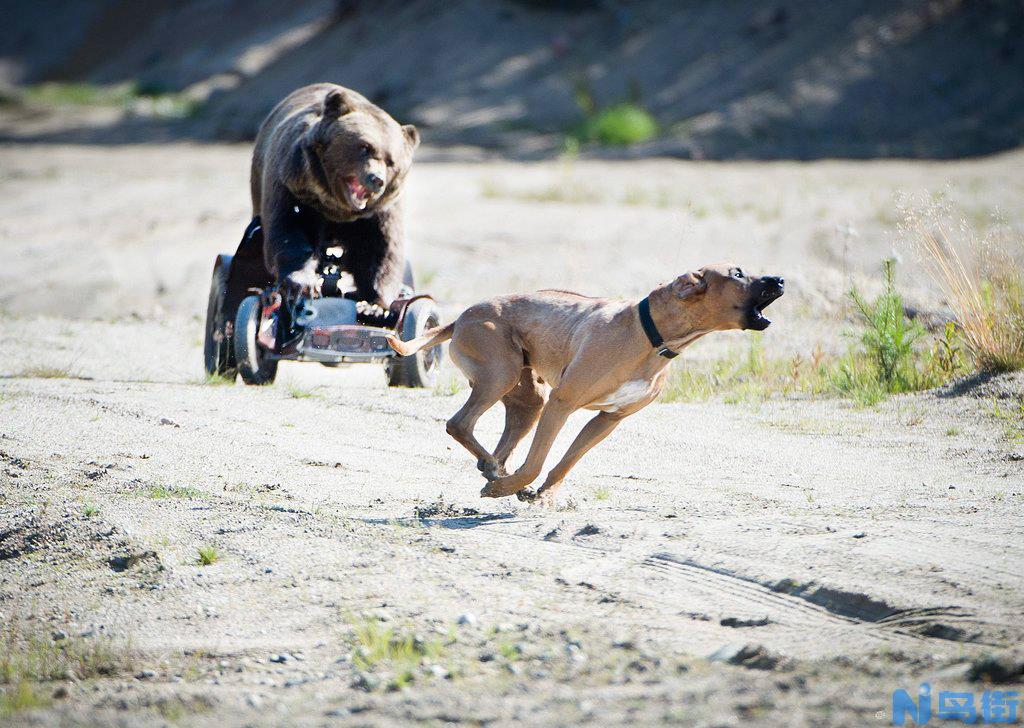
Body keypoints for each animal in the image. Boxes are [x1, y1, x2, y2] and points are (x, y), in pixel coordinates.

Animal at [385, 264, 782, 503]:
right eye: (737, 272)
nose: (780, 280)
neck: (651, 334)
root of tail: (463, 316)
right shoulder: (562, 404)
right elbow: (536, 462)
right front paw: (511, 489)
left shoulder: (606, 420)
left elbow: (565, 462)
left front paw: (541, 493)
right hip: (502, 375)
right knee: (459, 424)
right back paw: (496, 473)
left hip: (529, 400)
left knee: (498, 443)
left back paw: (493, 468)